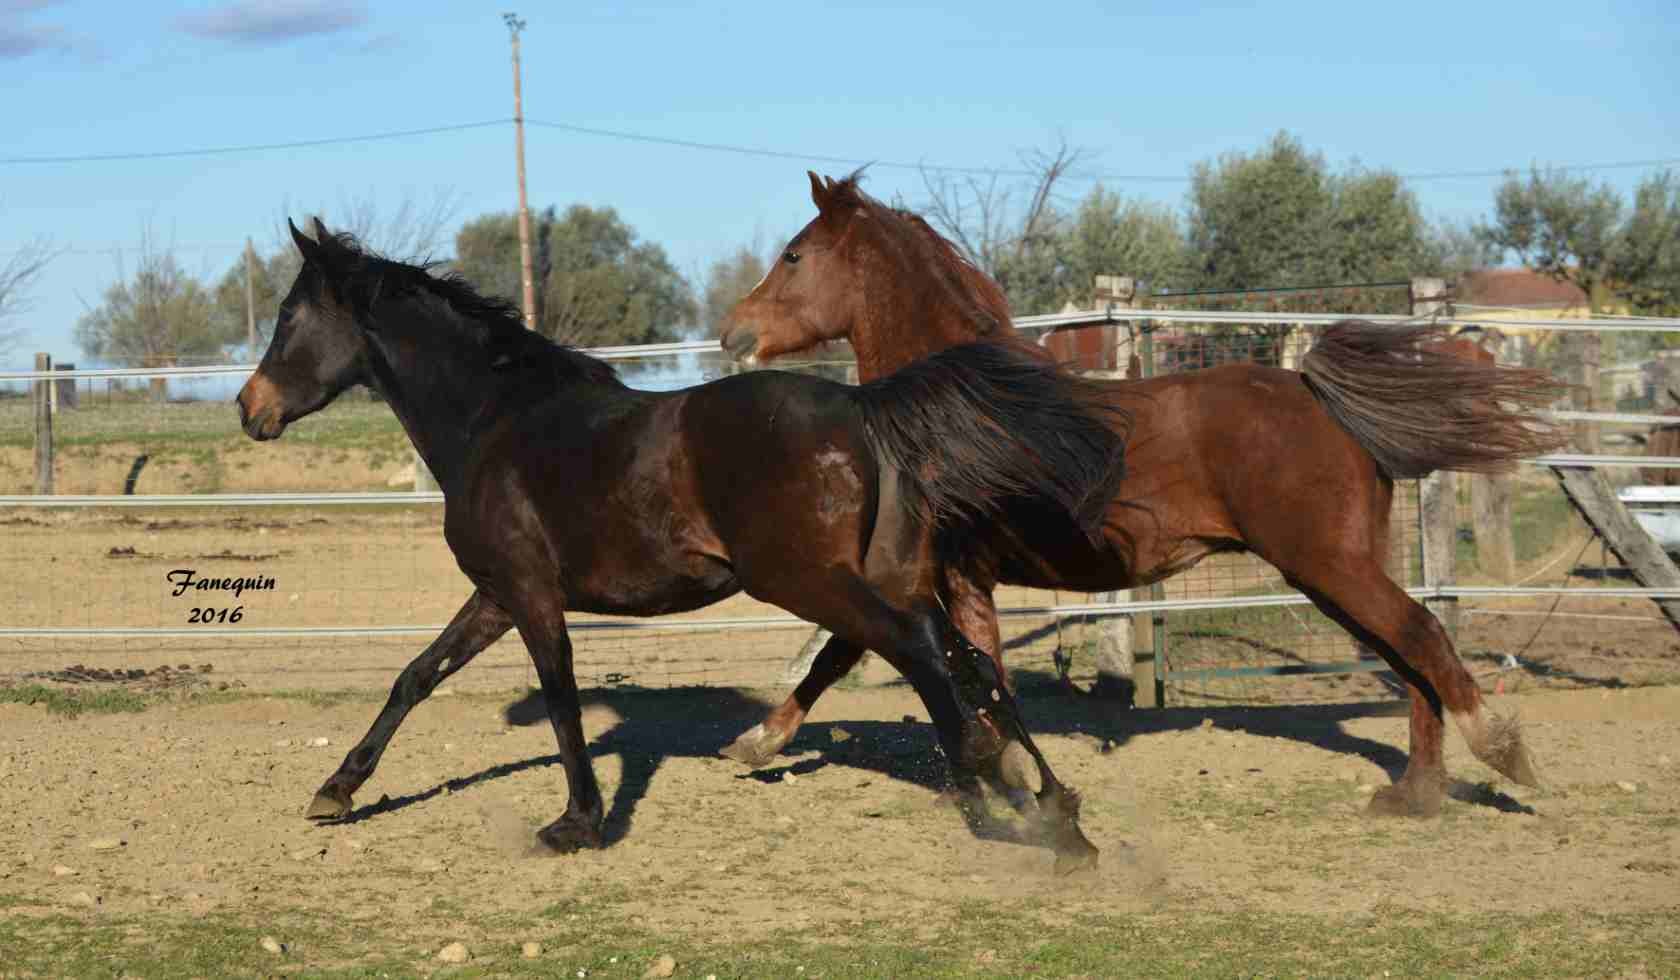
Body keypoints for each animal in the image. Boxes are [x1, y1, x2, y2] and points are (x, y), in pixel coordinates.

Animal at [236, 218, 1128, 867]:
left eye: (289, 318)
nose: (249, 409)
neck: (494, 422)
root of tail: (862, 409)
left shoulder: (529, 594)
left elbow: (560, 699)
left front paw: (577, 823)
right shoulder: (494, 594)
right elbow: (414, 677)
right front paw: (336, 792)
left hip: (804, 578)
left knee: (918, 649)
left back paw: (988, 782)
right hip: (889, 572)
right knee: (966, 658)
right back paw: (1058, 815)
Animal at [722, 172, 1572, 816]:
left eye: (794, 255)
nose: (733, 333)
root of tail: (1318, 393)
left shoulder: (939, 570)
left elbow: (872, 654)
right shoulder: (950, 576)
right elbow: (887, 658)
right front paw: (758, 743)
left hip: (1330, 563)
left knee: (1422, 637)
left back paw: (1501, 754)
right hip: (1330, 570)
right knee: (1406, 654)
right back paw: (1414, 794)